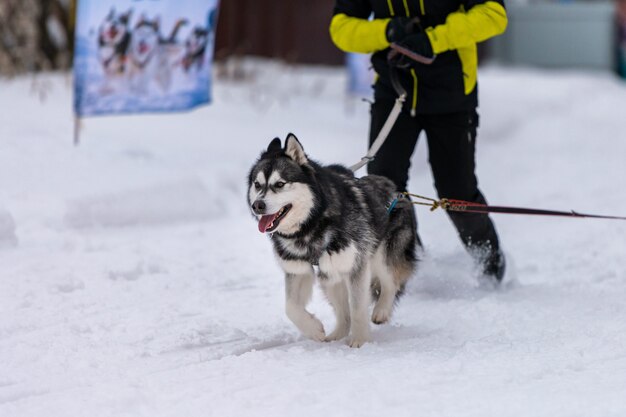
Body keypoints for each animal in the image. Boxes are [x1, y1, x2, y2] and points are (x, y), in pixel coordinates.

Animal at [246, 135, 416, 346]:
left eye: (279, 184)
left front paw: (360, 341)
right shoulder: (297, 269)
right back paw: (337, 334)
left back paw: (381, 311)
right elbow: (291, 307)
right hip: (329, 276)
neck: (311, 225)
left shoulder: (356, 265)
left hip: (381, 255)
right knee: (343, 312)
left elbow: (358, 308)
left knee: (391, 282)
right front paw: (313, 329)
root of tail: (397, 191)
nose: (257, 205)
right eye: (257, 184)